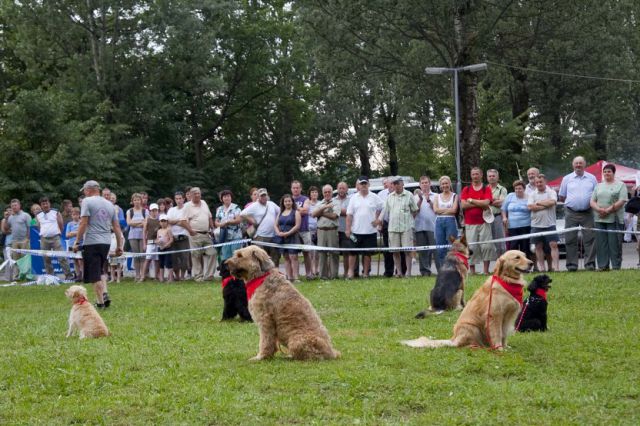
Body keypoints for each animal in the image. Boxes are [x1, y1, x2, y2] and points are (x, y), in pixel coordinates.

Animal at [402, 250, 532, 350]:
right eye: (517, 257)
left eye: (525, 255)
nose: (531, 263)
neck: (507, 280)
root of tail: (453, 339)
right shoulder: (495, 315)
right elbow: (497, 333)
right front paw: (499, 348)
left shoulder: (508, 317)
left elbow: (504, 334)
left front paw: (505, 347)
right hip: (473, 328)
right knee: (464, 345)